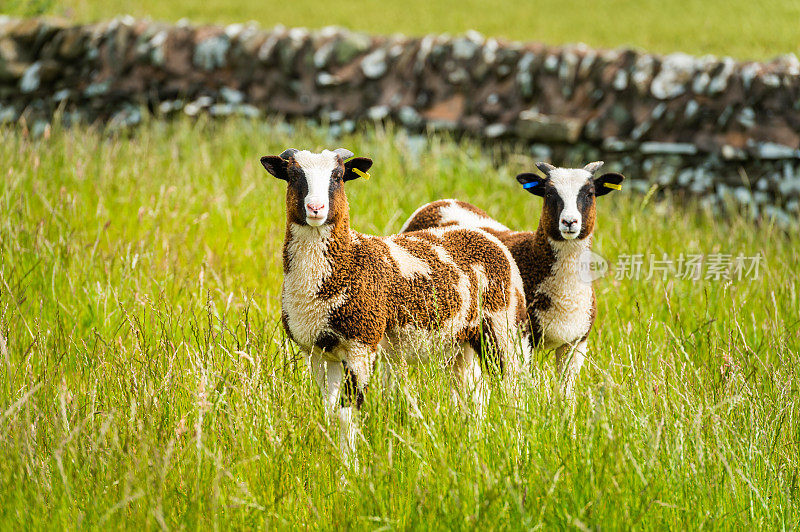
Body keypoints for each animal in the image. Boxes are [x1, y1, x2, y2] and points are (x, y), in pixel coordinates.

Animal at [260, 147, 528, 462]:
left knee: (513, 390)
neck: (349, 259)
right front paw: (334, 460)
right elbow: (329, 412)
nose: (316, 208)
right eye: (293, 175)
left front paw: (350, 468)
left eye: (338, 177)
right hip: (462, 344)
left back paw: (517, 446)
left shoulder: (360, 345)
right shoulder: (316, 351)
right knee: (473, 396)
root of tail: (484, 235)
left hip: (503, 327)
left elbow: (346, 415)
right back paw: (473, 445)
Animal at [400, 162, 624, 400]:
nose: (569, 222)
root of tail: (439, 202)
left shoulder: (576, 342)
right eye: (549, 194)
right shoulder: (525, 337)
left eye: (589, 194)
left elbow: (565, 393)